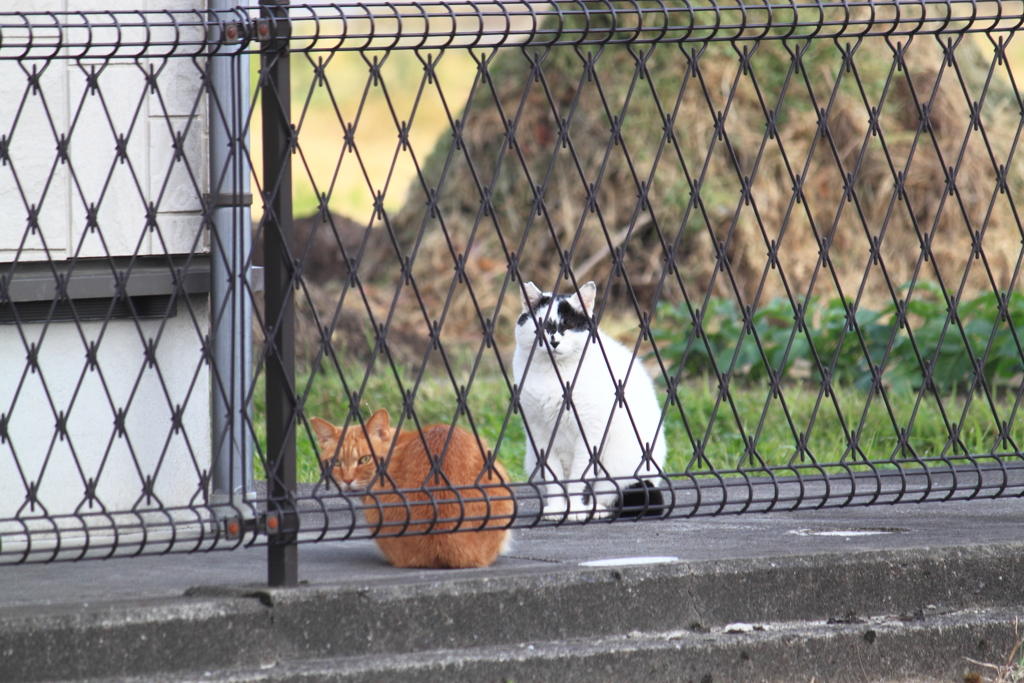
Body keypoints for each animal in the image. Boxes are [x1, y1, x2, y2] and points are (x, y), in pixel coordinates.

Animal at [516, 280, 667, 520]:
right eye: (542, 327)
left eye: (568, 325)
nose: (554, 341)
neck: (556, 376)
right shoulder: (540, 435)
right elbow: (554, 479)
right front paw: (557, 509)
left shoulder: (590, 435)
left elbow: (579, 479)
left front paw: (576, 510)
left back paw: (597, 511)